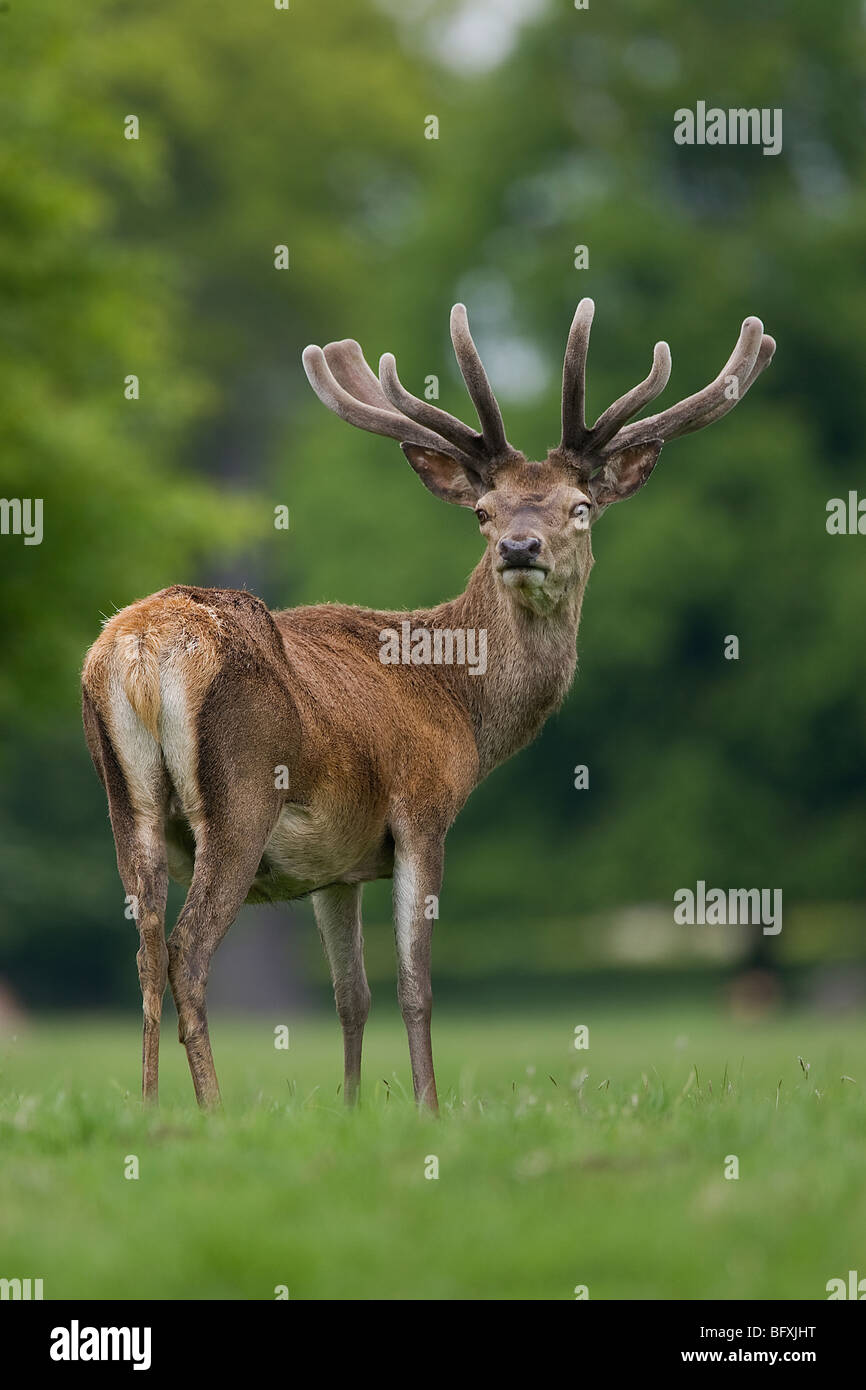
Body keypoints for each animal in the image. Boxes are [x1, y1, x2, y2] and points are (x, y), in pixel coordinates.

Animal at [81, 299, 775, 1112]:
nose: (519, 547)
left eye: (580, 507)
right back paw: (213, 1113)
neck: (460, 705)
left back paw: (152, 1110)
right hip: (241, 797)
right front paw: (428, 1110)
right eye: (483, 510)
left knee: (144, 951)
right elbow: (416, 987)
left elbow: (351, 997)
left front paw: (351, 1110)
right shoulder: (423, 809)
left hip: (127, 805)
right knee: (186, 951)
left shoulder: (336, 865)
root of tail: (140, 646)